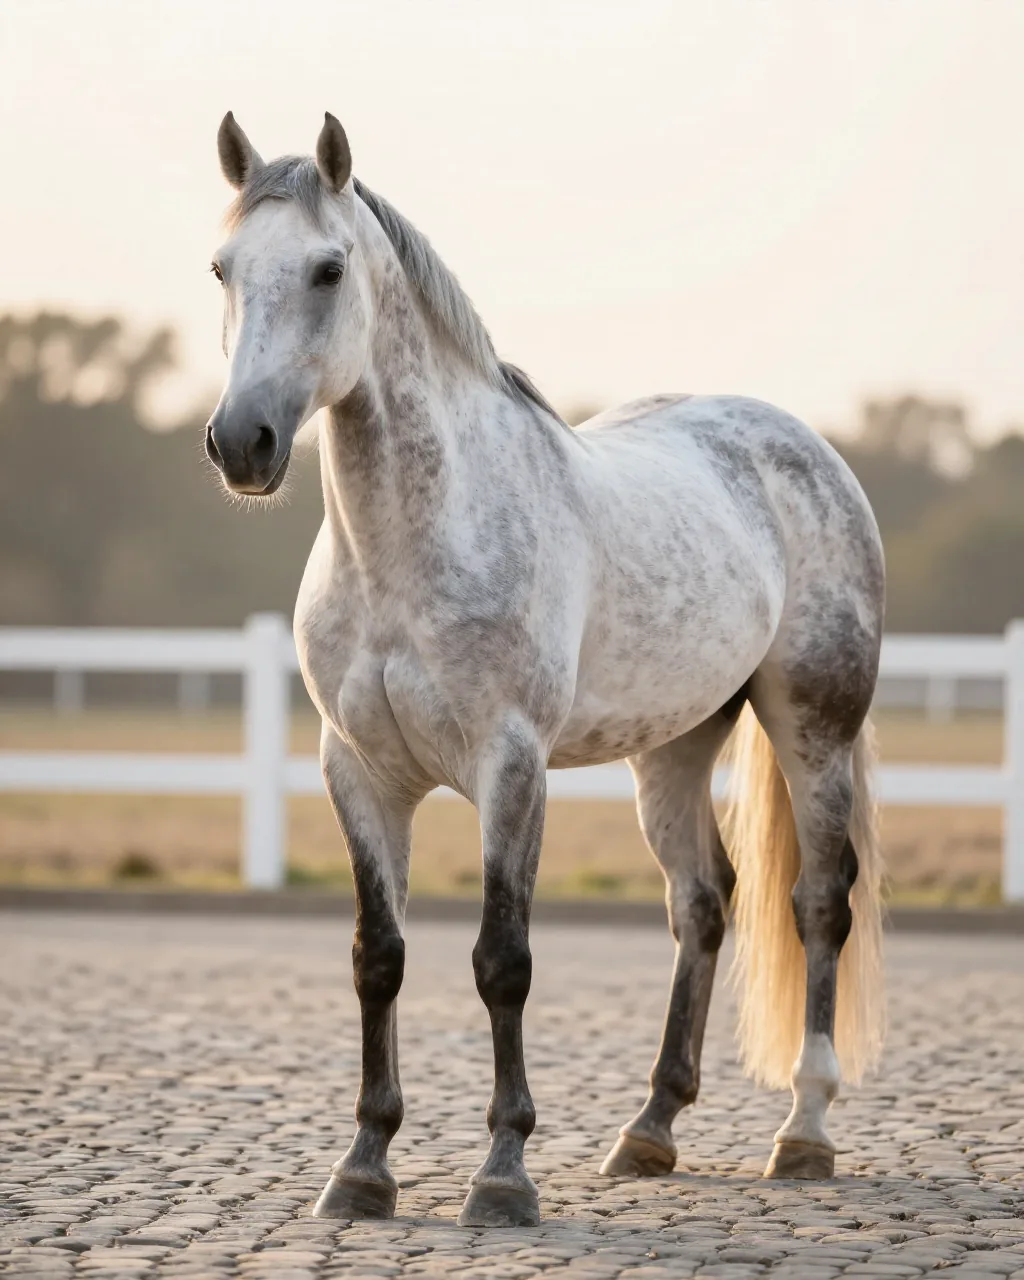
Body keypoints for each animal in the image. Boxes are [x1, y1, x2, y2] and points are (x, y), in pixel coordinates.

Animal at [205, 111, 885, 1228]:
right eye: (222, 267)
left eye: (328, 268)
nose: (240, 443)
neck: (410, 549)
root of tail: (804, 446)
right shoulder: (358, 773)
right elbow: (378, 958)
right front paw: (363, 1167)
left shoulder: (509, 766)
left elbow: (502, 960)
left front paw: (502, 1174)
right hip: (672, 748)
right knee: (704, 902)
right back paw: (649, 1130)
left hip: (812, 730)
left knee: (818, 901)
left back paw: (805, 1132)